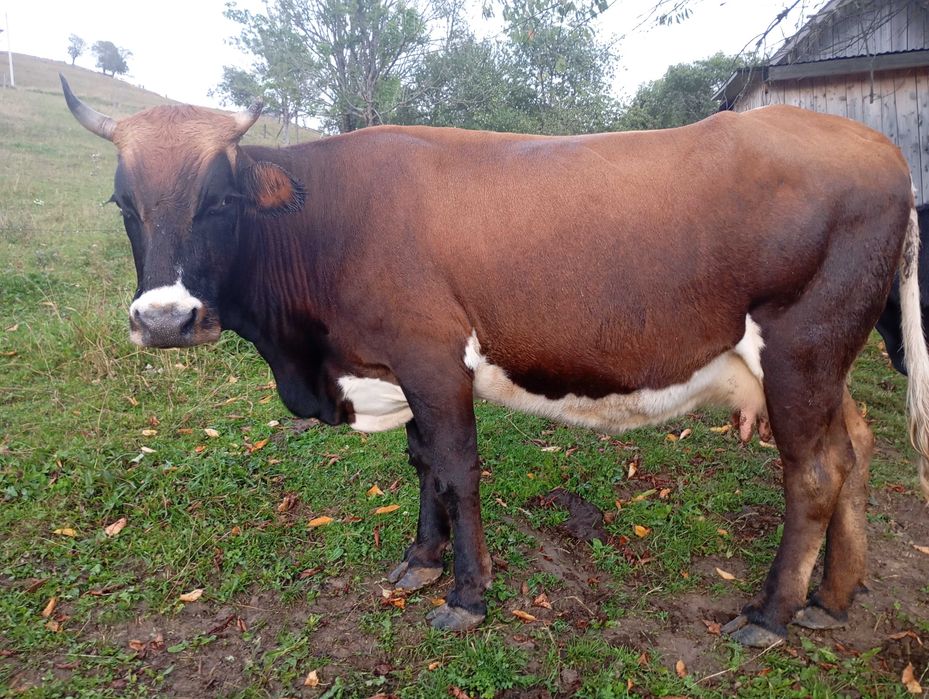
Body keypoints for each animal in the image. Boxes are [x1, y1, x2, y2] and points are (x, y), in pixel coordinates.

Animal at [61, 74, 929, 648]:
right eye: (123, 203)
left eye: (217, 201)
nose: (165, 319)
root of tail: (878, 146)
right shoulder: (398, 366)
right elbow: (420, 461)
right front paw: (420, 559)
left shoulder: (431, 355)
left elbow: (455, 467)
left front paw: (467, 593)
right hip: (825, 359)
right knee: (854, 450)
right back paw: (833, 595)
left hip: (801, 346)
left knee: (811, 471)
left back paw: (771, 613)